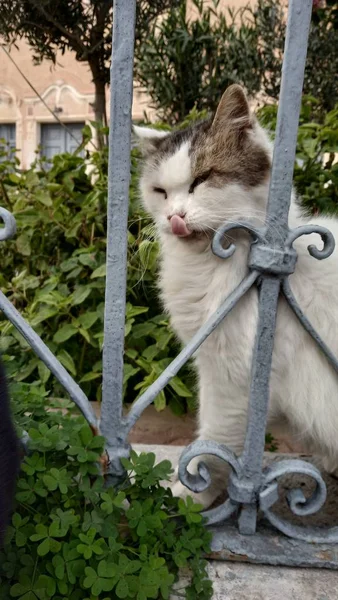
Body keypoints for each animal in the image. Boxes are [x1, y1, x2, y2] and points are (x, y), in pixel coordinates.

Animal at [133, 83, 338, 506]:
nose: (174, 218)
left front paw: (189, 498)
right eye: (160, 192)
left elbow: (211, 452)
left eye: (202, 180)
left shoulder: (232, 383)